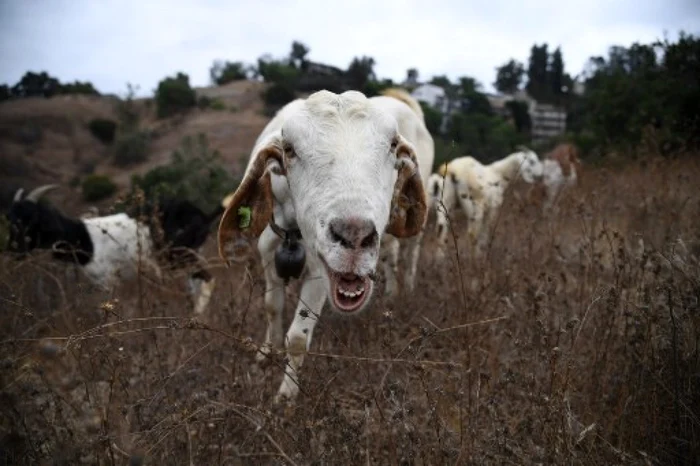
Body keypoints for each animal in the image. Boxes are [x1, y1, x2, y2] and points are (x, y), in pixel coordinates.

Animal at [5, 184, 224, 314]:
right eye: (10, 218)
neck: (84, 238)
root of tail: (202, 215)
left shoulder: (107, 280)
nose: (11, 251)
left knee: (208, 279)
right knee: (195, 284)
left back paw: (196, 316)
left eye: (28, 220)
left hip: (179, 255)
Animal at [217, 87, 432, 400]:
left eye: (393, 144)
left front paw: (285, 397)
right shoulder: (268, 253)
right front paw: (266, 352)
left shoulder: (319, 271)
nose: (354, 235)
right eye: (289, 149)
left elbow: (297, 337)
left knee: (411, 249)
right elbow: (271, 306)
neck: (293, 230)